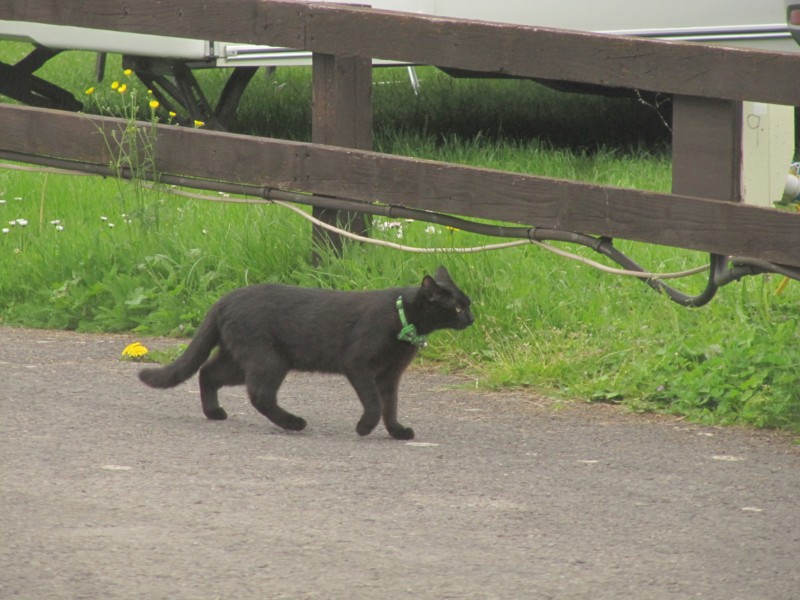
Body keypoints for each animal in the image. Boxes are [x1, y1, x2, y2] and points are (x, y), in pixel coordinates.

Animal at [141, 268, 472, 440]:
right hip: (268, 359)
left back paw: (214, 412)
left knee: (208, 372)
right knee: (259, 394)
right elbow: (375, 403)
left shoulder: (391, 376)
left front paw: (397, 431)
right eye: (457, 307)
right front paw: (364, 427)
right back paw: (294, 423)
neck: (403, 318)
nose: (472, 318)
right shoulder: (358, 365)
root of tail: (224, 299)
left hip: (239, 358)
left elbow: (390, 405)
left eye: (467, 304)